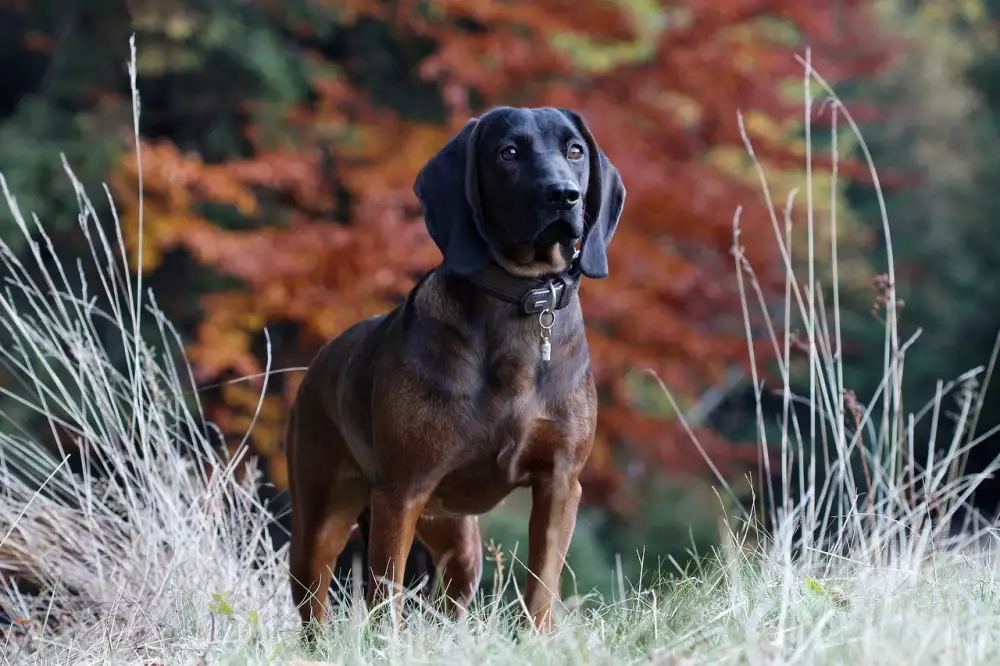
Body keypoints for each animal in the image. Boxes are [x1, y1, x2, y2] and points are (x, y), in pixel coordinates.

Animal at [284, 105, 624, 632]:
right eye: (508, 152)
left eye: (575, 151)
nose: (563, 194)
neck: (521, 300)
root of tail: (320, 361)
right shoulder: (402, 491)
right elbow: (386, 597)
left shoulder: (560, 482)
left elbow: (542, 588)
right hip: (320, 519)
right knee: (314, 609)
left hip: (458, 544)